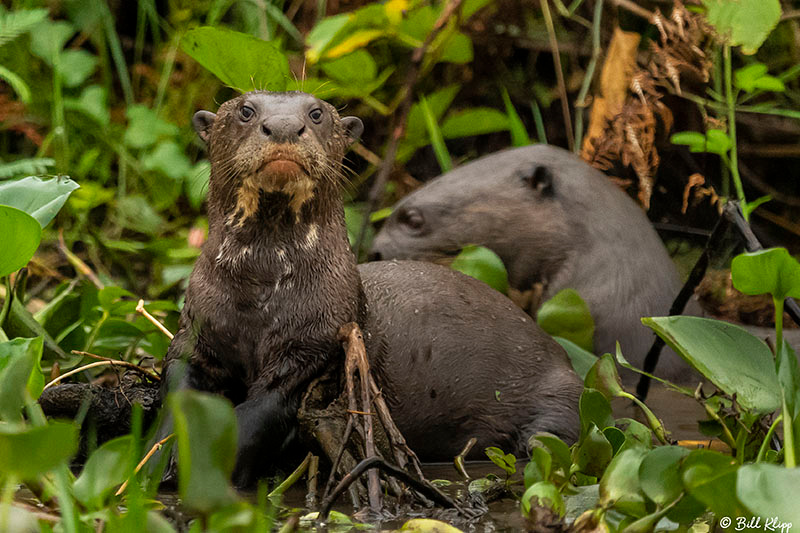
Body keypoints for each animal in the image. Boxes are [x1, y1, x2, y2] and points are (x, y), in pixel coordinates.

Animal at [162, 92, 580, 486]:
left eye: (316, 113)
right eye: (246, 110)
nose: (283, 126)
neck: (259, 293)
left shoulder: (316, 346)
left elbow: (264, 411)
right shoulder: (196, 331)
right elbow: (176, 386)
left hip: (561, 399)